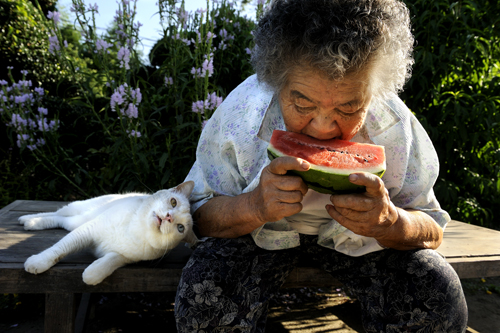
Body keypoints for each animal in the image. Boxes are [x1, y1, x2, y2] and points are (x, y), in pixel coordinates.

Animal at [18, 180, 197, 284]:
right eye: (173, 202)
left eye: (180, 228)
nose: (169, 217)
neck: (137, 229)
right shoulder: (87, 230)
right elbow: (59, 249)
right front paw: (38, 262)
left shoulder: (124, 257)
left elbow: (107, 264)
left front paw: (91, 273)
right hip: (81, 212)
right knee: (58, 214)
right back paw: (28, 220)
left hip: (77, 222)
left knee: (62, 220)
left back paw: (29, 222)